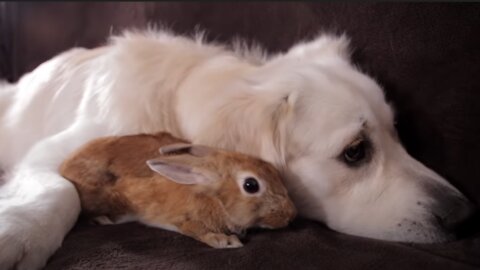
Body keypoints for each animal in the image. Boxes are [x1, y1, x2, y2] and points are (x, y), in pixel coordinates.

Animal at [58, 132, 294, 248]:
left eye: (273, 170)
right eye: (251, 185)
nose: (291, 215)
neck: (213, 199)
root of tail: (64, 165)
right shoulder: (184, 220)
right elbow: (196, 230)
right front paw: (224, 242)